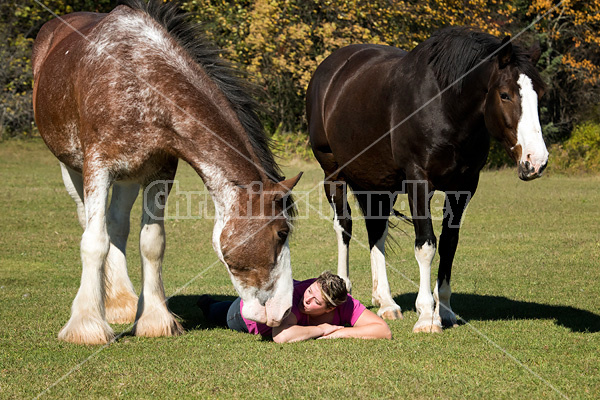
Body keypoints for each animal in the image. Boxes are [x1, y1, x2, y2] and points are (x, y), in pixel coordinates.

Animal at [32, 0, 300, 344]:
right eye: (282, 233)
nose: (284, 310)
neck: (140, 79)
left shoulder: (159, 172)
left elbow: (151, 243)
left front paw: (154, 319)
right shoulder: (98, 166)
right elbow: (94, 241)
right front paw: (86, 325)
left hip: (130, 176)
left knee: (117, 225)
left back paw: (121, 302)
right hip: (71, 166)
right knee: (90, 221)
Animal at [310, 28, 548, 332]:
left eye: (540, 94)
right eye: (505, 94)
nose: (536, 161)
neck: (444, 105)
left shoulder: (464, 187)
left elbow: (448, 243)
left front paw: (444, 310)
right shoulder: (418, 182)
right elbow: (426, 245)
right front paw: (426, 315)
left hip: (378, 182)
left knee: (376, 231)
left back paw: (385, 301)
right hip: (334, 174)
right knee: (344, 226)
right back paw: (344, 288)